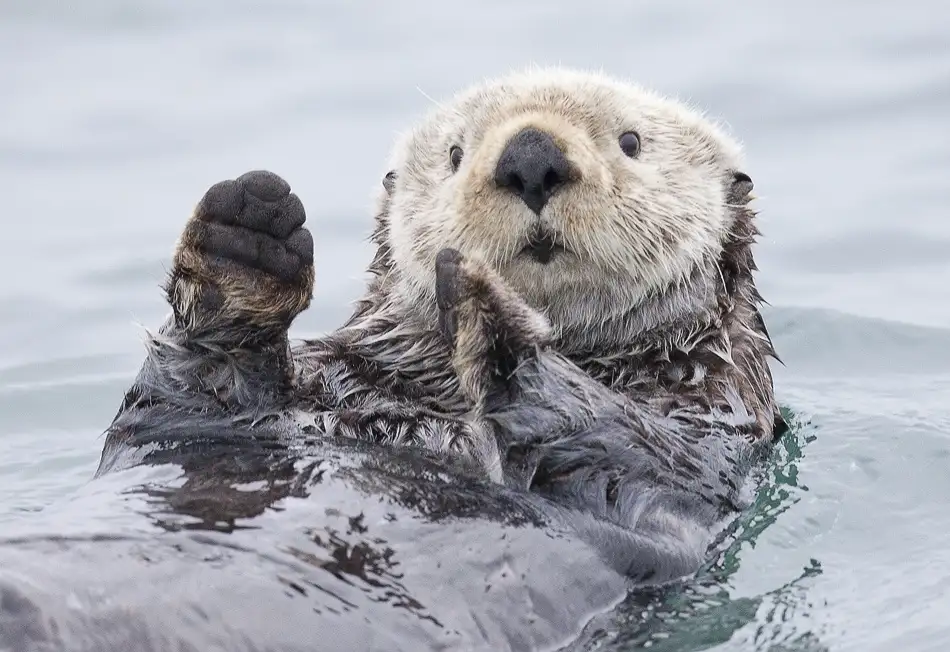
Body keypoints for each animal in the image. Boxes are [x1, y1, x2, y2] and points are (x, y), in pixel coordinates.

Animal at [96, 68, 781, 582]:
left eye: (632, 141)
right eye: (455, 154)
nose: (531, 155)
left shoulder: (706, 437)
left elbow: (629, 442)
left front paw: (487, 309)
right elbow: (183, 400)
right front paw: (246, 236)